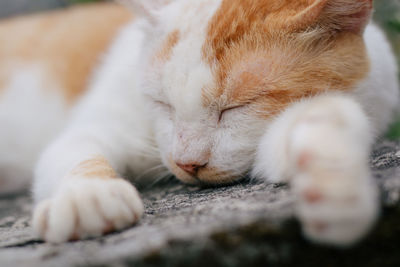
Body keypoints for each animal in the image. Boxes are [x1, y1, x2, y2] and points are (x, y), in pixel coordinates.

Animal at [0, 0, 398, 247]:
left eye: (235, 108)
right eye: (162, 103)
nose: (187, 162)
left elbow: (321, 123)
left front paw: (336, 185)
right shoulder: (98, 122)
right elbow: (77, 151)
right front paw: (88, 196)